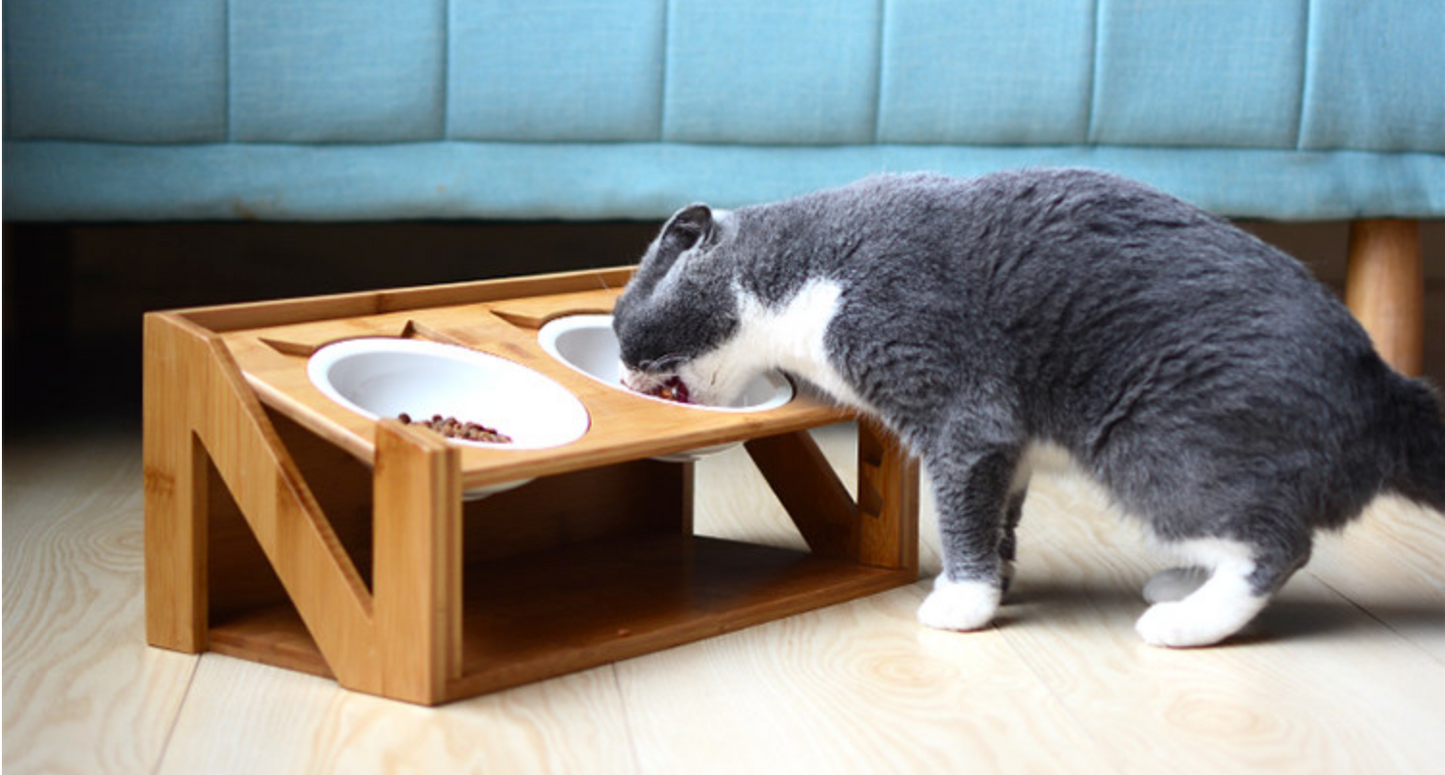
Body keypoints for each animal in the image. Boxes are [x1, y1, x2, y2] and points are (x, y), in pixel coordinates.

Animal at [612, 169, 1445, 647]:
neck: (805, 278)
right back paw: (1182, 584)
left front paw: (961, 603)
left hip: (1153, 445)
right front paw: (996, 585)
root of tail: (1382, 385)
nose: (618, 368)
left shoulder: (958, 411)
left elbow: (959, 509)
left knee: (1276, 544)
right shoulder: (1006, 449)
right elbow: (995, 514)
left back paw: (1181, 621)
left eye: (622, 324)